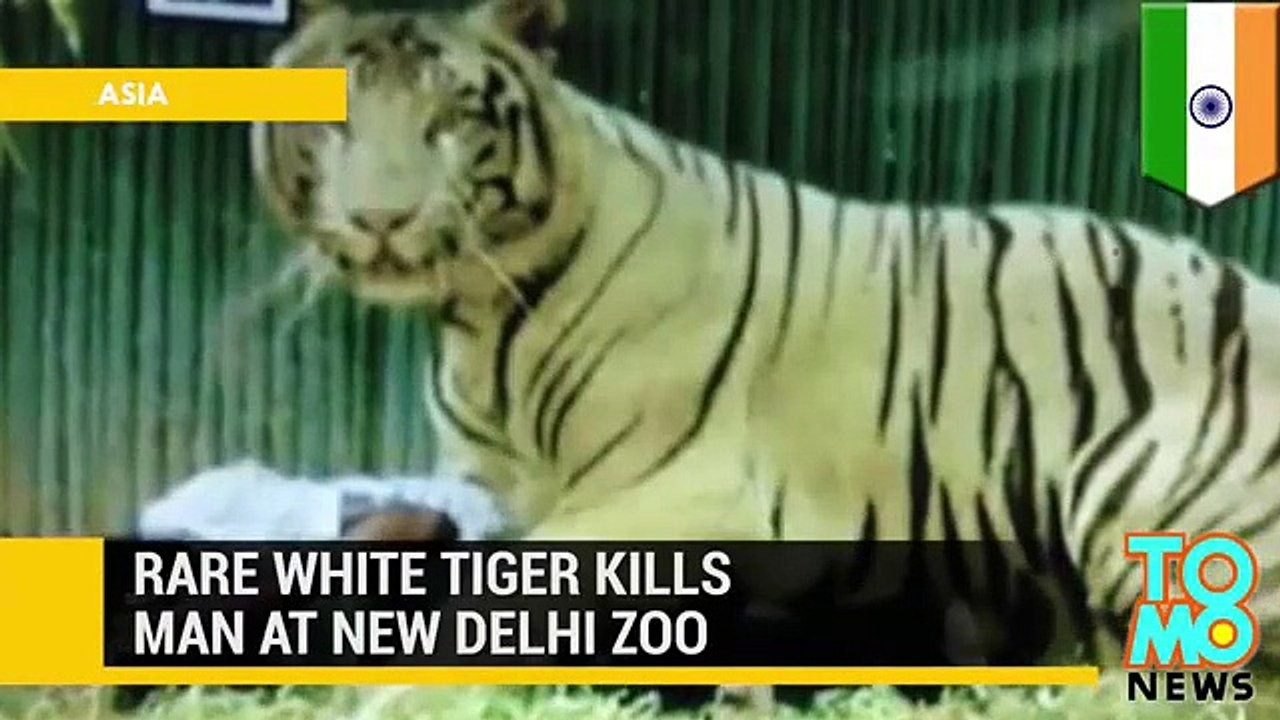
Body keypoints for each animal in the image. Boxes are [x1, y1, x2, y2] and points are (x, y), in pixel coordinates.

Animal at [251, 0, 1280, 675]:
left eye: (452, 116)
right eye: (334, 116)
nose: (382, 219)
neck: (479, 320)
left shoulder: (686, 494)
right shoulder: (475, 488)